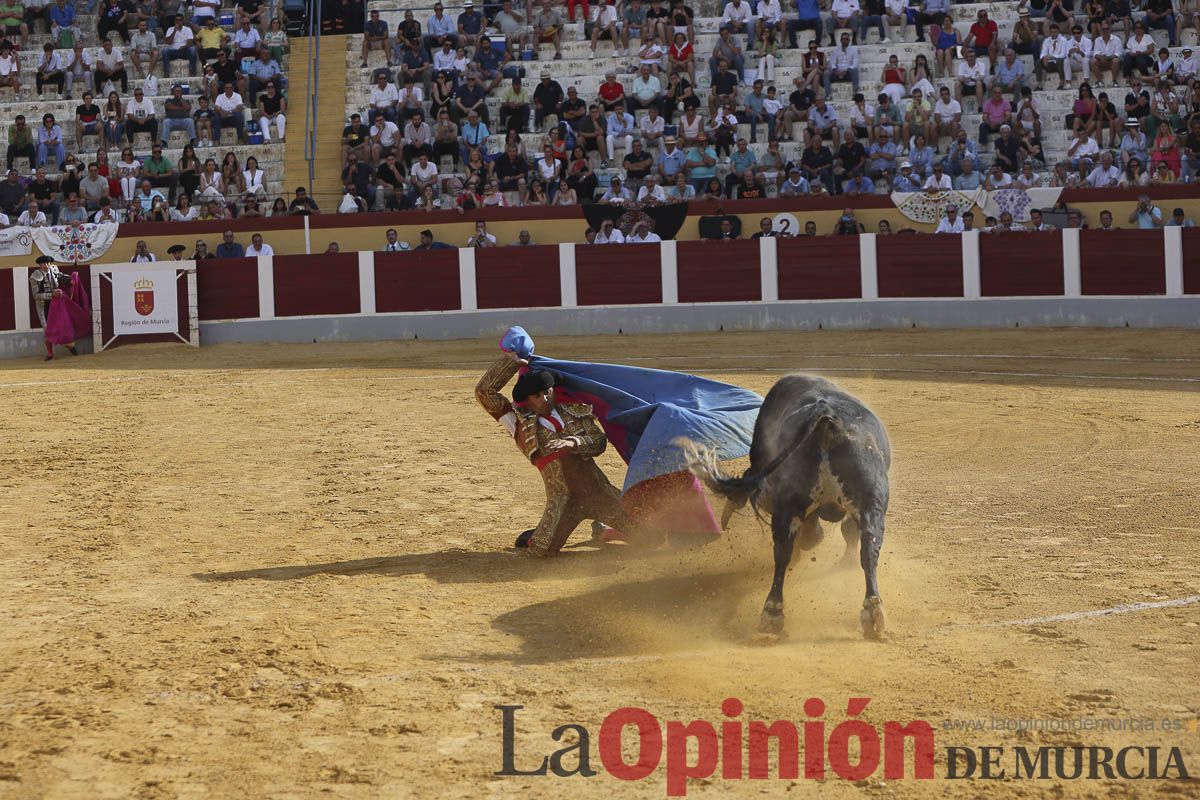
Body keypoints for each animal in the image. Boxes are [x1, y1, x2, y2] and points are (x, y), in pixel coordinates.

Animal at [686, 374, 892, 638]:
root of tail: (826, 418)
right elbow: (841, 532)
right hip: (863, 503)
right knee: (866, 548)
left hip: (809, 505)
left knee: (788, 551)